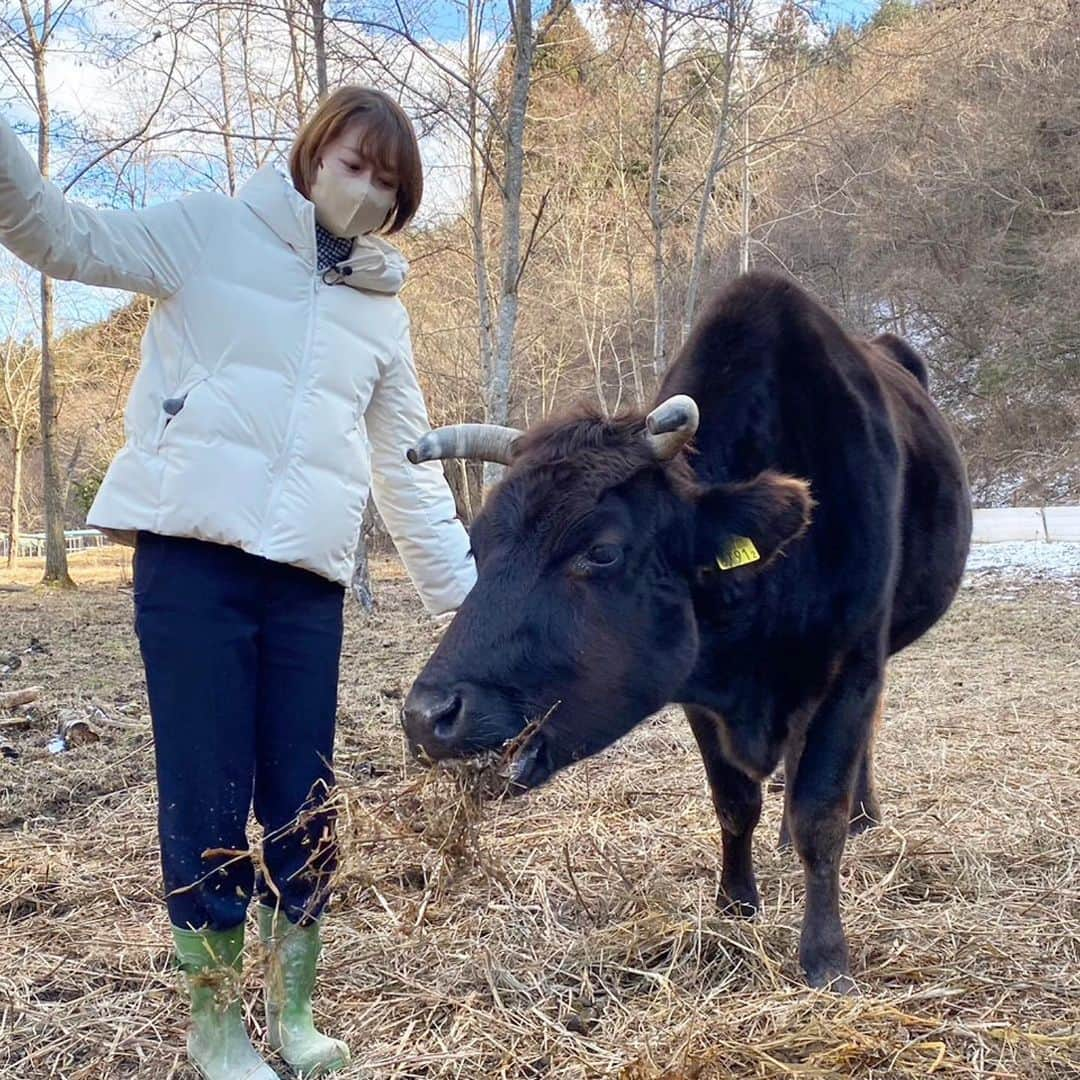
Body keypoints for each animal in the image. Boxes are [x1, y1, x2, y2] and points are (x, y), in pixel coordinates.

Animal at [401, 272, 976, 989]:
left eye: (601, 552)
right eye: (476, 547)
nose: (427, 716)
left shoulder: (851, 665)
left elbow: (820, 815)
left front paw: (825, 958)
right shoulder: (699, 690)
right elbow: (734, 803)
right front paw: (736, 906)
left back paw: (865, 816)